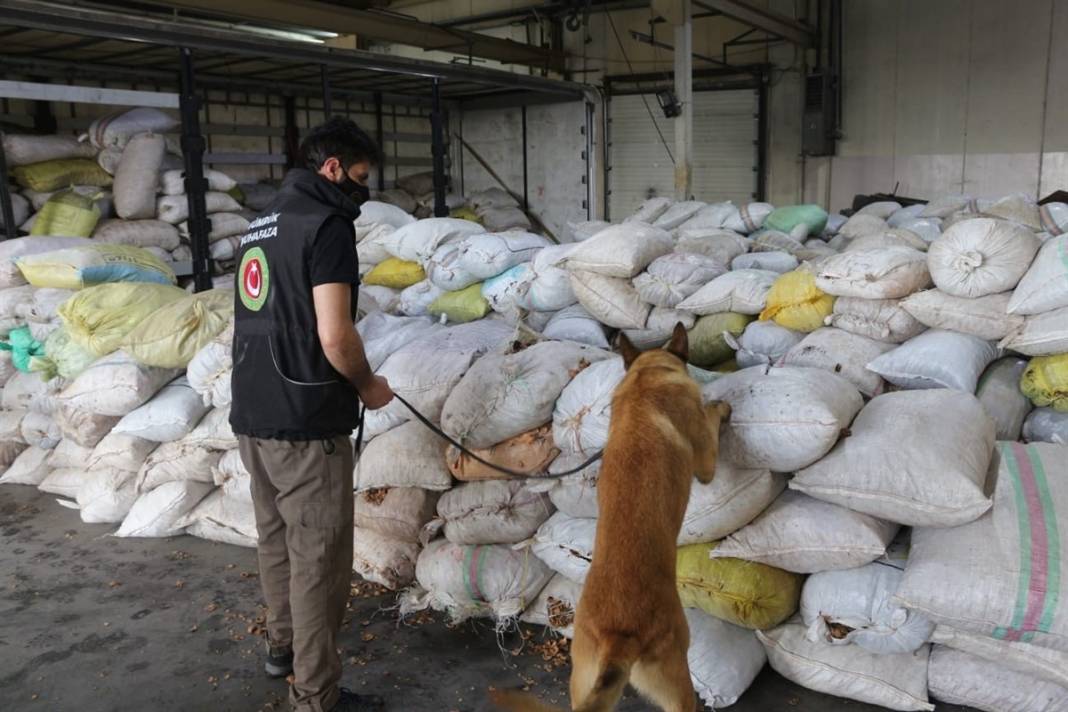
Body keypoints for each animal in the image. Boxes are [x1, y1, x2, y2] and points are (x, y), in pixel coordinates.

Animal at [491, 324, 734, 712]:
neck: (645, 379)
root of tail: (620, 636)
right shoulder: (706, 459)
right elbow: (709, 426)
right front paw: (720, 408)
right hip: (676, 676)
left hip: (583, 677)